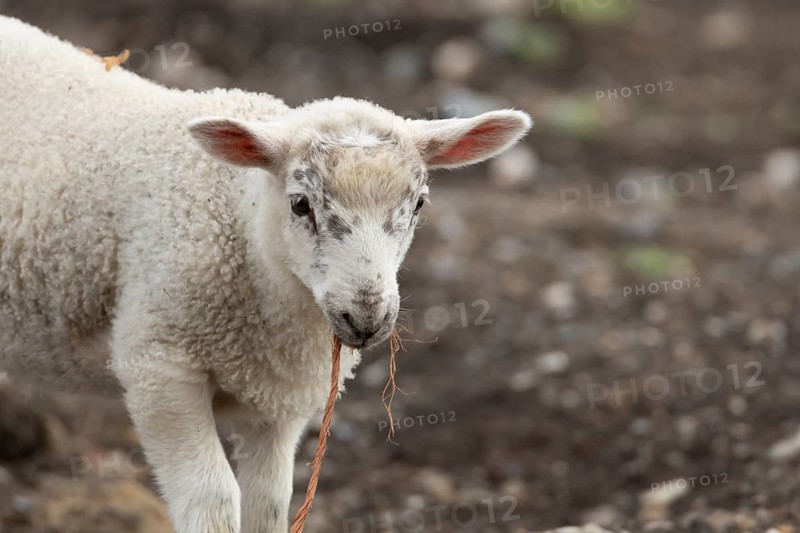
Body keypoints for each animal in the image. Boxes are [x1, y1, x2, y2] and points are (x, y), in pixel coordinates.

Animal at [0, 15, 532, 533]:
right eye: (300, 205)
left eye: (419, 205)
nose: (365, 319)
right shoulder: (159, 367)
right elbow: (213, 501)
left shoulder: (279, 400)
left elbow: (269, 505)